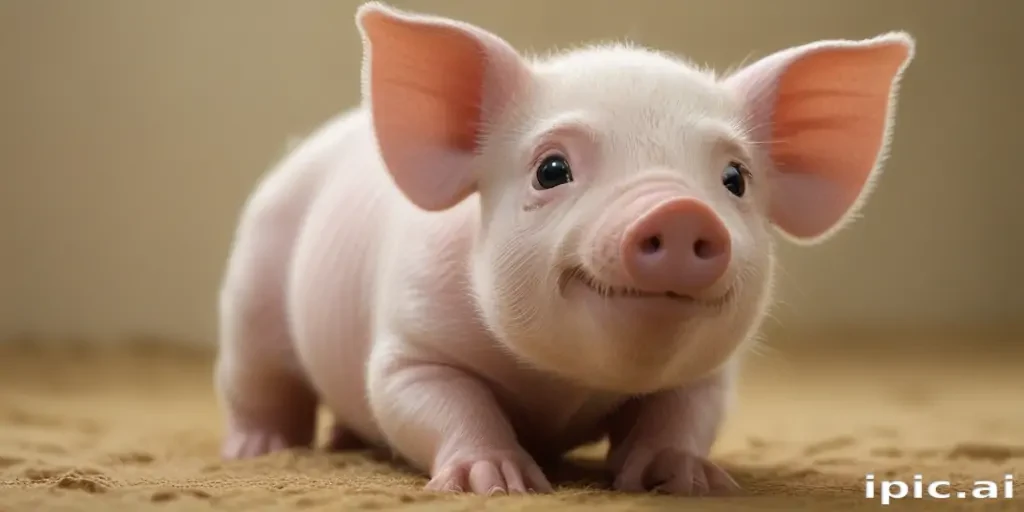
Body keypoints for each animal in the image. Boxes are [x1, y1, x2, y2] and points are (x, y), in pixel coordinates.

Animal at [213, 1, 915, 496]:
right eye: (551, 169)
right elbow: (438, 402)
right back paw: (258, 451)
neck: (563, 392)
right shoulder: (411, 346)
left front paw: (687, 482)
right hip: (253, 288)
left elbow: (684, 415)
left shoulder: (708, 374)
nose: (679, 210)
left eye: (735, 179)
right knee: (259, 383)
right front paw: (498, 484)